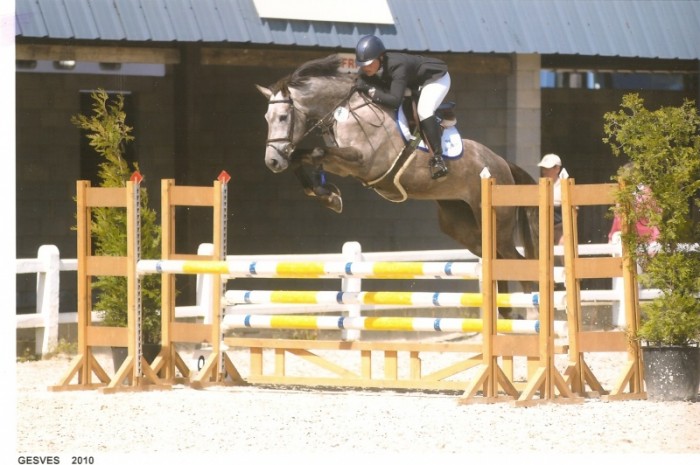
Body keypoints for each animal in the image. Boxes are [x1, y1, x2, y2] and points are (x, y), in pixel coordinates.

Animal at [256, 54, 539, 308]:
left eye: (283, 117)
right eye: (266, 119)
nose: (272, 162)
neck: (347, 111)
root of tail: (503, 164)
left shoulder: (362, 162)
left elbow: (315, 153)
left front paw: (328, 194)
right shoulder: (344, 163)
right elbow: (302, 157)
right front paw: (326, 194)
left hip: (498, 225)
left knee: (519, 265)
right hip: (465, 228)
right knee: (497, 263)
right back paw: (507, 315)